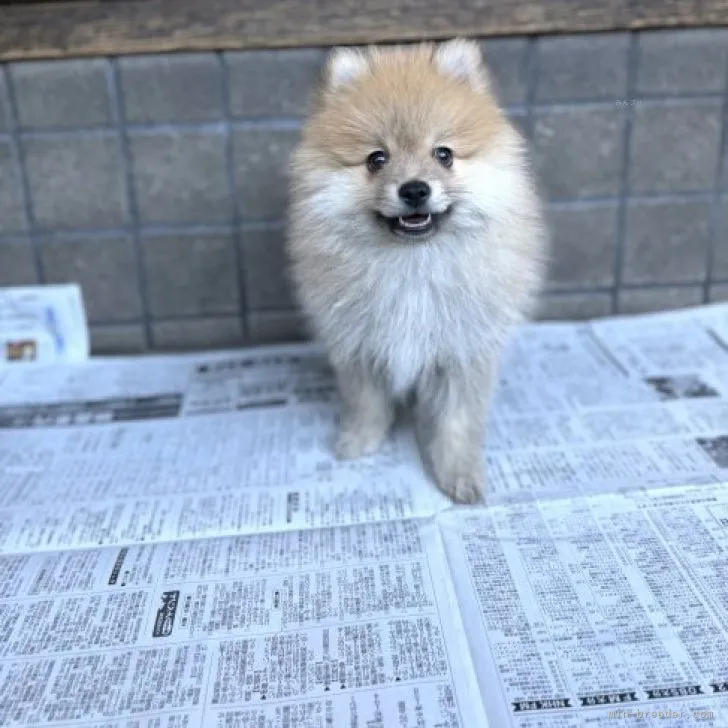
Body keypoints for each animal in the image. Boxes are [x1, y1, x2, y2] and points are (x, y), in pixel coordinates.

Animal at [284, 38, 544, 506]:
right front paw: (359, 443)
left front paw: (458, 473)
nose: (415, 189)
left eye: (444, 155)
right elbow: (366, 404)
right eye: (376, 159)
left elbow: (457, 421)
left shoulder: (463, 351)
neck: (413, 261)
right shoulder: (358, 345)